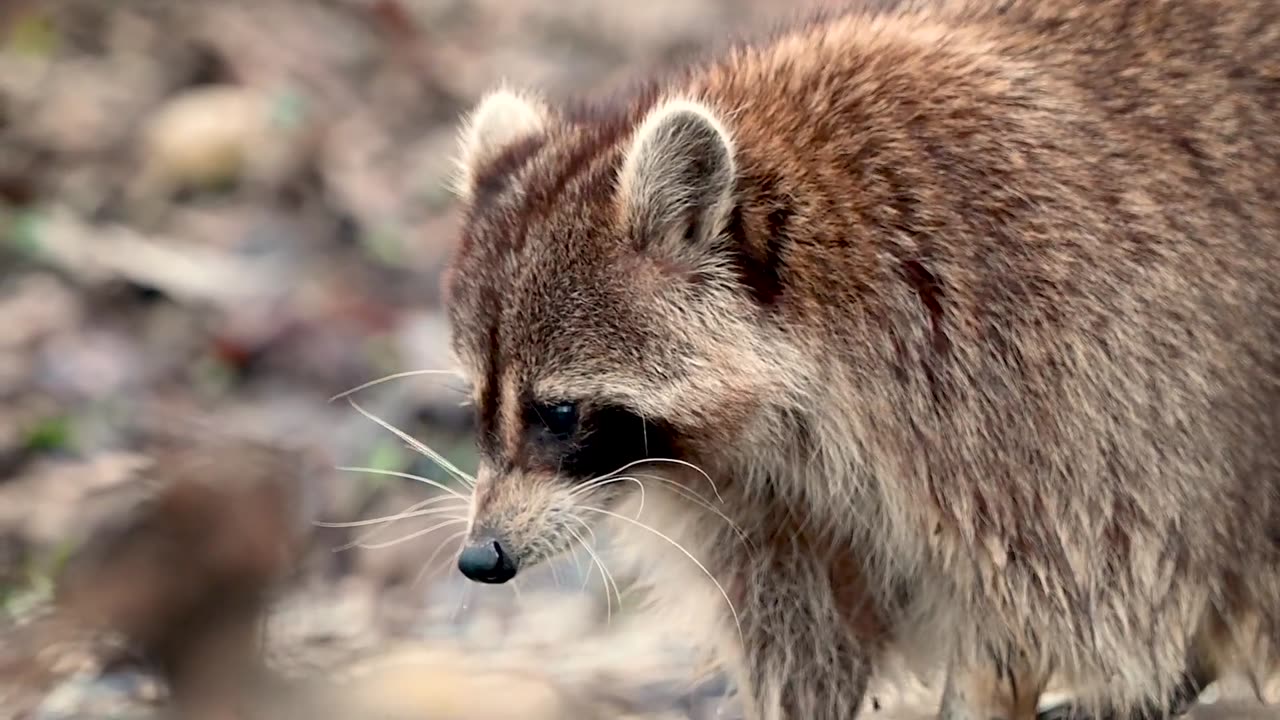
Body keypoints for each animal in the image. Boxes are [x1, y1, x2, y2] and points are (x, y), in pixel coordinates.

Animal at [440, 1, 1280, 717]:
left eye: (558, 413)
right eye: (478, 405)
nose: (482, 558)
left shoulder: (1044, 382)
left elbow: (1045, 605)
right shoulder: (759, 494)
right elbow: (800, 633)